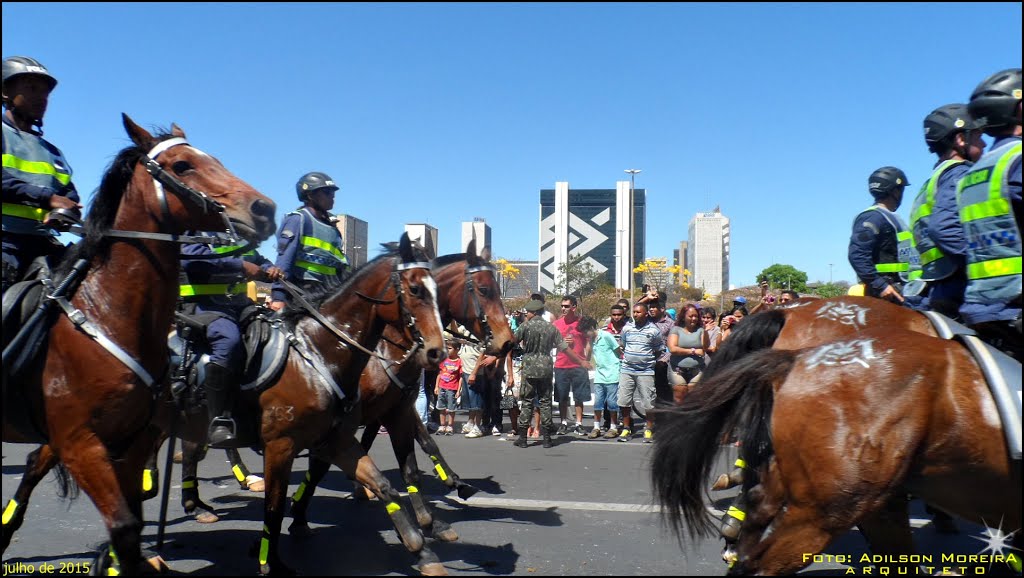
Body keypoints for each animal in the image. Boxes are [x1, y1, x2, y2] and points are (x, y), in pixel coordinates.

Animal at [0, 114, 276, 573]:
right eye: (182, 165)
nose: (264, 209)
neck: (108, 313)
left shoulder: (134, 437)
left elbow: (134, 512)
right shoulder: (81, 443)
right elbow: (125, 526)